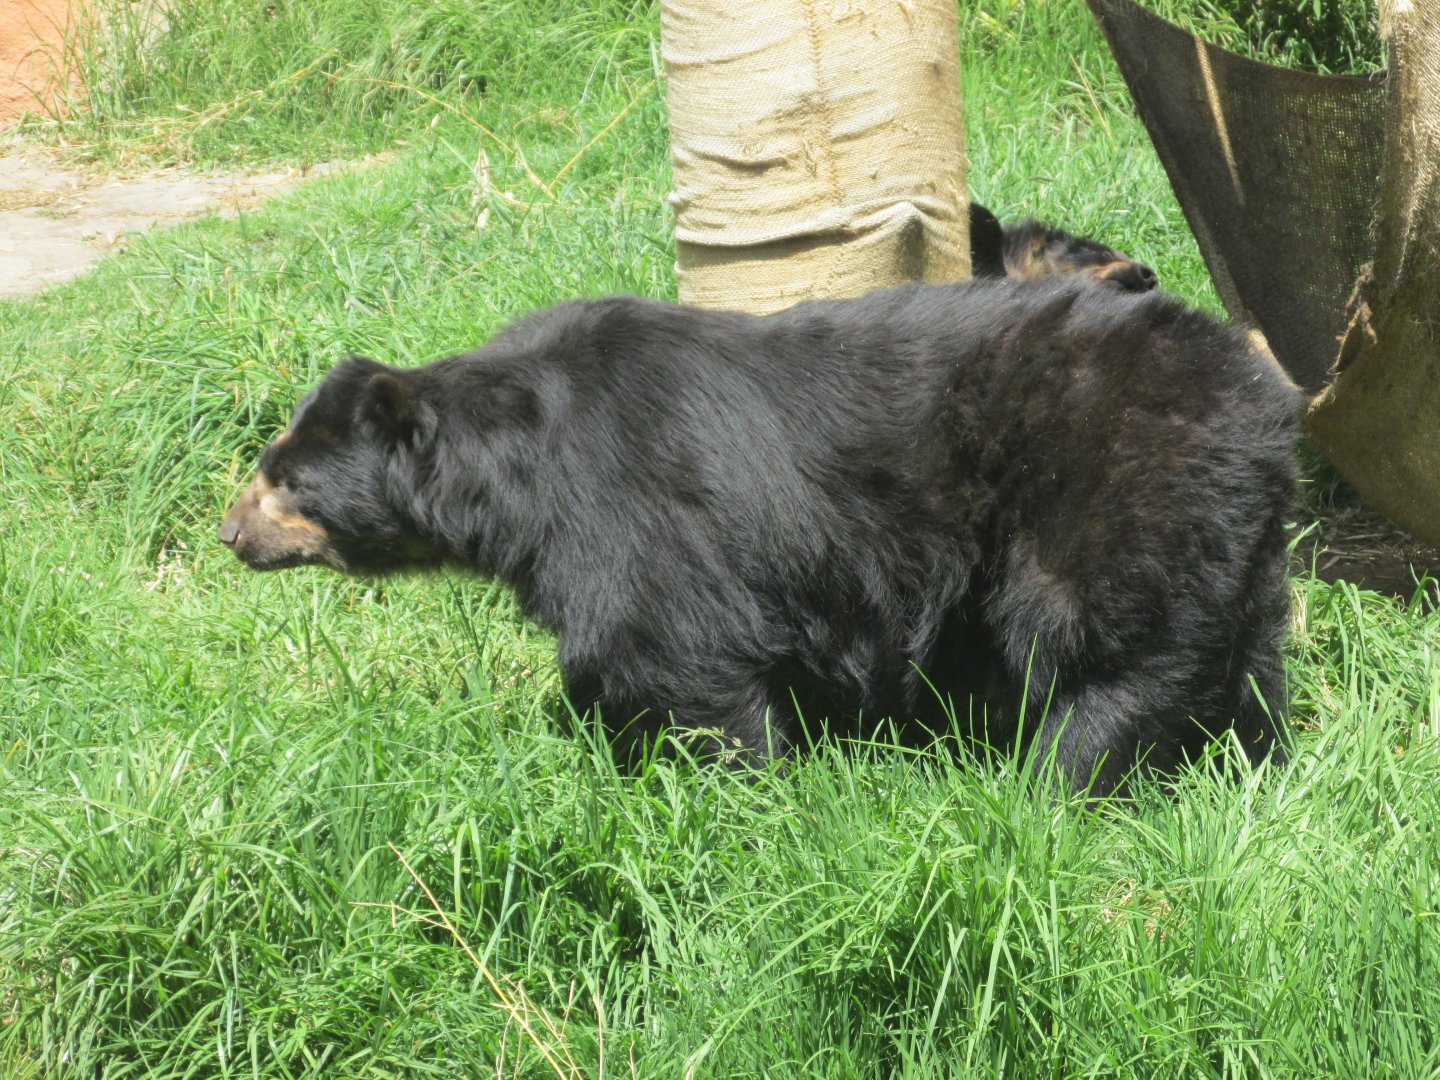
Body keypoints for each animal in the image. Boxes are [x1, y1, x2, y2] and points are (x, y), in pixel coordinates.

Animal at [219, 277, 1297, 795]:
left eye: (287, 480)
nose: (230, 534)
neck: (518, 473)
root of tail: (1257, 392)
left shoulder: (636, 517)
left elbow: (678, 661)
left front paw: (736, 801)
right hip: (1232, 532)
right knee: (1243, 654)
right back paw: (1247, 762)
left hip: (1111, 483)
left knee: (1112, 648)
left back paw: (1063, 775)